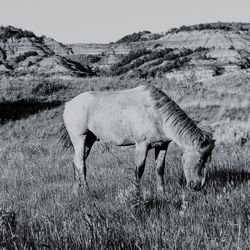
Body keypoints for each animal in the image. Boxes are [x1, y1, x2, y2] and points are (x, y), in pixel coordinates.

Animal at [60, 85, 215, 192]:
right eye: (200, 160)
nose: (197, 186)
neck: (155, 113)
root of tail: (69, 104)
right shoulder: (142, 145)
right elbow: (139, 170)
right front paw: (136, 192)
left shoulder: (162, 146)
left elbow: (160, 169)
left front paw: (162, 192)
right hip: (80, 140)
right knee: (81, 164)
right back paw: (86, 191)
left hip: (89, 141)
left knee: (75, 161)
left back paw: (76, 190)